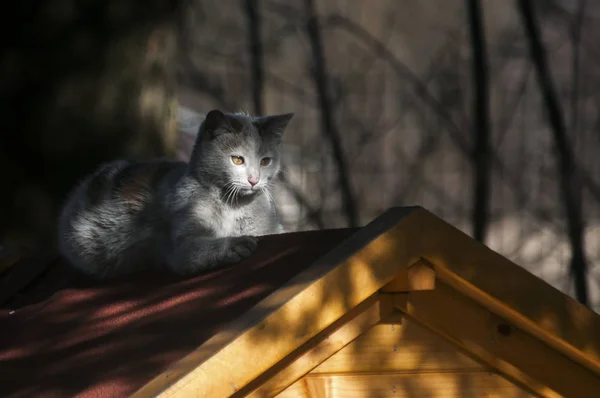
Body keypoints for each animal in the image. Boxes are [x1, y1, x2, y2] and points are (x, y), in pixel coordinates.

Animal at [58, 109, 292, 280]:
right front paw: (238, 243)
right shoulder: (182, 247)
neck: (233, 206)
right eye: (237, 160)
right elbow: (200, 250)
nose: (254, 180)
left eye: (265, 161)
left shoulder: (268, 228)